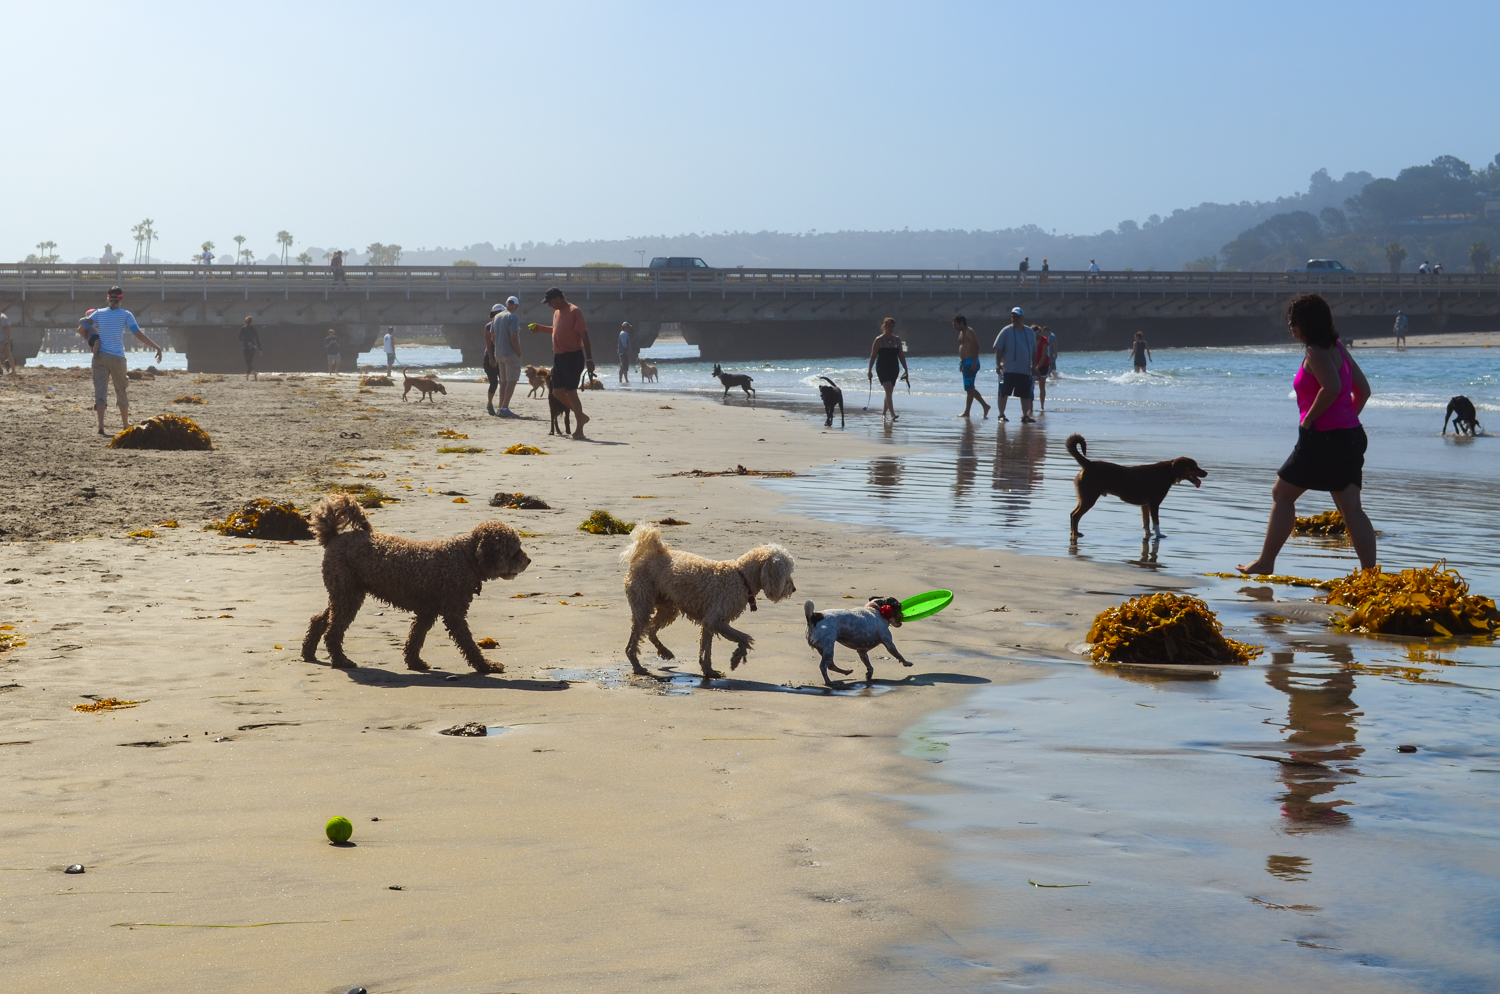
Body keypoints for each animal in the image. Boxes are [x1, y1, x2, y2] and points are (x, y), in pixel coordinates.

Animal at [298, 491, 528, 671]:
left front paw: (414, 662)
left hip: (344, 592)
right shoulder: (453, 613)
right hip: (348, 594)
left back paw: (308, 653)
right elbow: (468, 644)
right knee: (332, 631)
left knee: (319, 619)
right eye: (515, 550)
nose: (528, 560)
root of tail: (334, 537)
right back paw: (341, 660)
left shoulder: (427, 611)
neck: (465, 557)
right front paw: (486, 666)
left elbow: (416, 638)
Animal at [621, 524, 798, 680]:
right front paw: (736, 658)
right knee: (634, 642)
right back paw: (638, 666)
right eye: (786, 571)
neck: (741, 577)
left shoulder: (709, 623)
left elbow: (706, 650)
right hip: (643, 604)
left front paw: (709, 671)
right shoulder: (715, 620)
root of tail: (646, 555)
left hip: (668, 608)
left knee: (650, 630)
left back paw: (664, 652)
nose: (794, 589)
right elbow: (743, 638)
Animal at [1068, 434, 1206, 539]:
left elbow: (1146, 522)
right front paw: (1159, 535)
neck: (1169, 471)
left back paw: (1073, 532)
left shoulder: (1145, 505)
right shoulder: (1154, 503)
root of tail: (1089, 464)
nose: (1206, 473)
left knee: (1072, 514)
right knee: (1075, 516)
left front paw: (1148, 534)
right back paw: (1075, 534)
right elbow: (1156, 522)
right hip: (1089, 498)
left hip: (1084, 498)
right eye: (1194, 466)